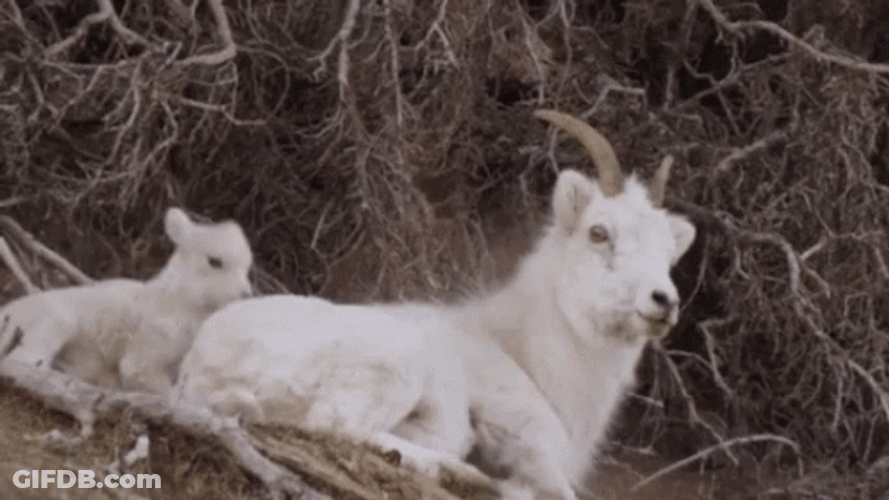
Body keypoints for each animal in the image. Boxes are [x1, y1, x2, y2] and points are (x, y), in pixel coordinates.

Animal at [0, 208, 253, 395]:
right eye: (214, 261)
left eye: (247, 266)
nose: (246, 295)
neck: (179, 302)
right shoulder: (144, 360)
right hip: (55, 322)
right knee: (23, 361)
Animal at [172, 110, 696, 499]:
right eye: (599, 232)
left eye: (668, 250)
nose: (663, 300)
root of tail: (199, 371)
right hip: (393, 366)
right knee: (337, 425)